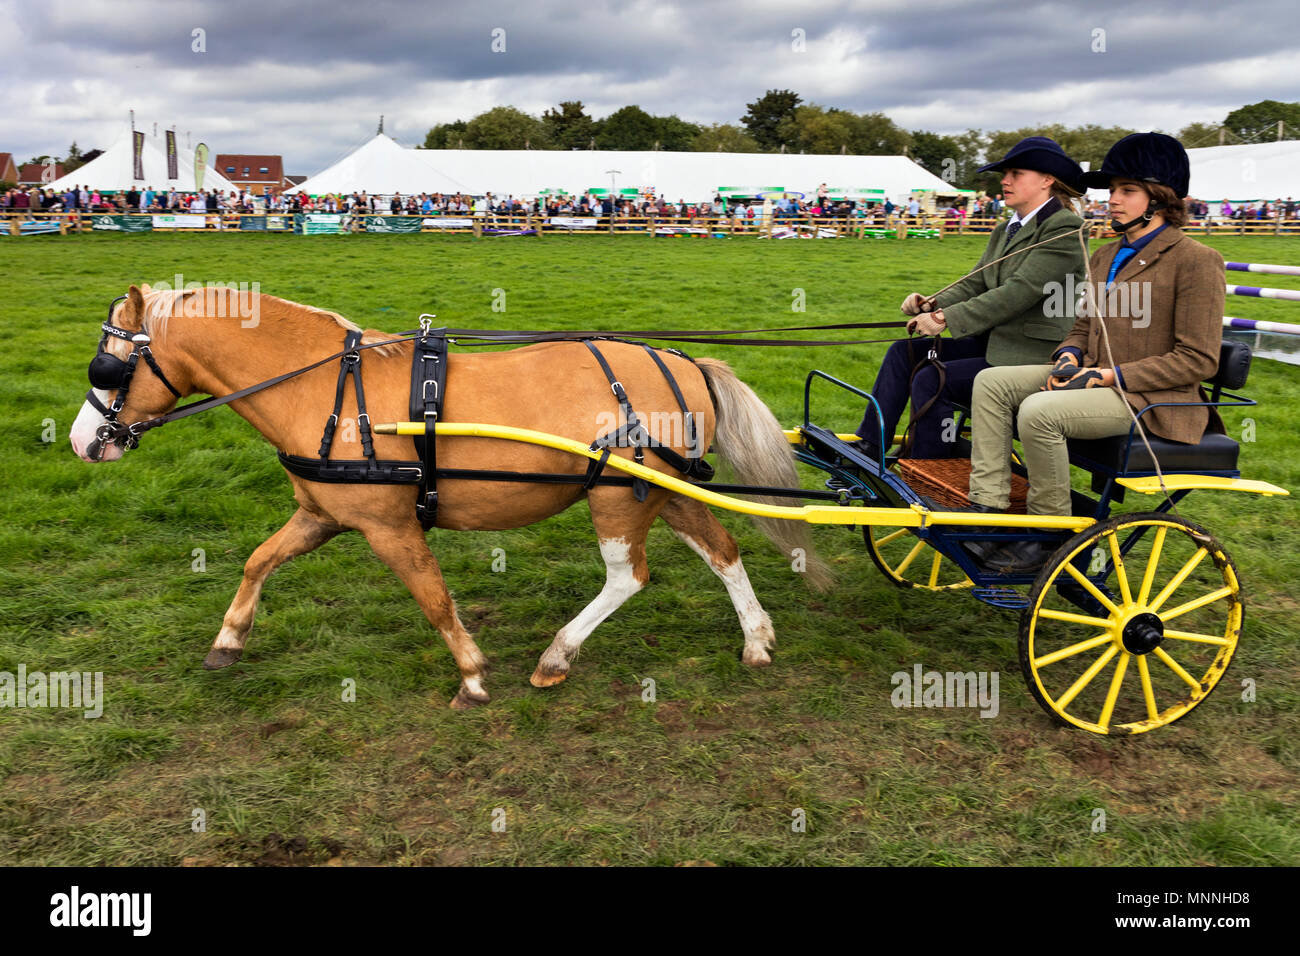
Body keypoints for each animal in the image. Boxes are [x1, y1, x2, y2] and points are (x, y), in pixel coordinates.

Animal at [71, 283, 826, 712]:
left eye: (106, 365)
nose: (82, 441)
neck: (327, 388)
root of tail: (683, 361)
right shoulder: (322, 515)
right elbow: (259, 560)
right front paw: (228, 640)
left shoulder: (389, 527)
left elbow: (433, 599)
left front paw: (471, 675)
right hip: (663, 491)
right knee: (722, 551)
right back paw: (756, 640)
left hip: (616, 495)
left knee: (628, 576)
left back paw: (557, 656)